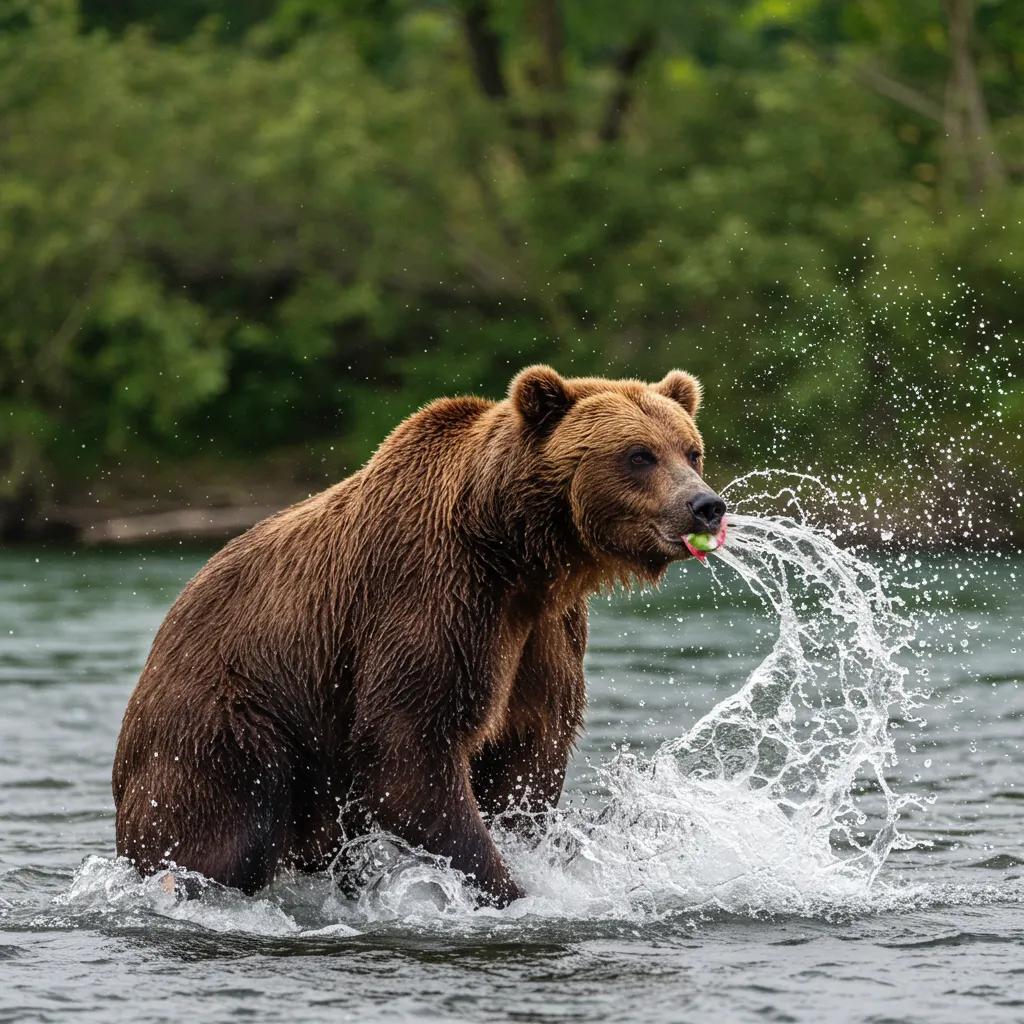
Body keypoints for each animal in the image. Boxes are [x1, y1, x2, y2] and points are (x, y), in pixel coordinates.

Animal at [112, 365, 726, 906]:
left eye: (691, 450)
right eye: (639, 454)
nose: (706, 505)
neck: (518, 555)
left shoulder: (546, 634)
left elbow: (531, 749)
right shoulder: (433, 598)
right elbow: (407, 750)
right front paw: (505, 886)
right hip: (228, 725)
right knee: (220, 835)